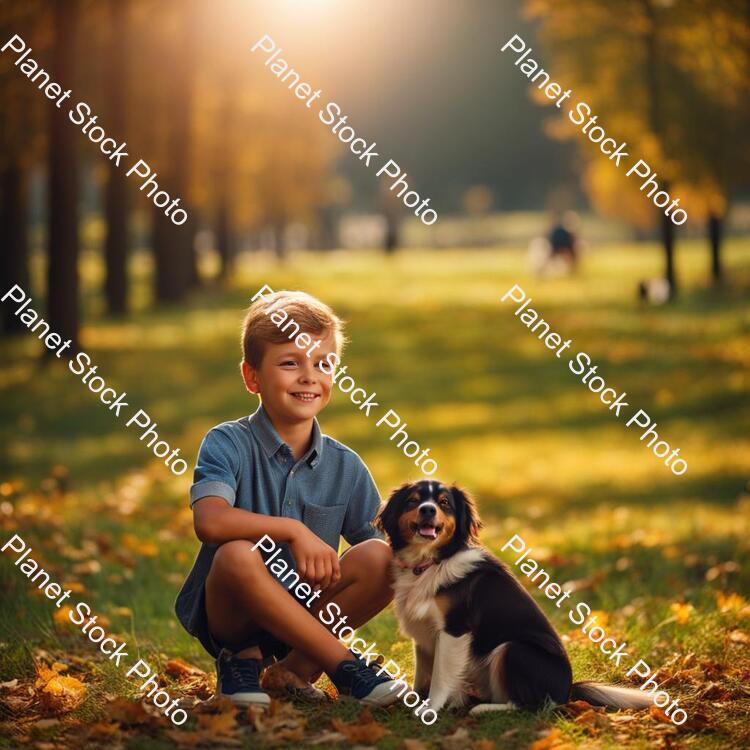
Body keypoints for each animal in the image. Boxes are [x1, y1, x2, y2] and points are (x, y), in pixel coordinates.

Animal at [378, 482, 656, 716]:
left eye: (444, 503)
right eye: (413, 501)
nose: (427, 510)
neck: (431, 562)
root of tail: (567, 691)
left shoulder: (454, 630)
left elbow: (439, 676)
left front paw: (430, 709)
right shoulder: (423, 633)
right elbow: (422, 673)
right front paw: (416, 699)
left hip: (513, 649)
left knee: (527, 704)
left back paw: (482, 709)